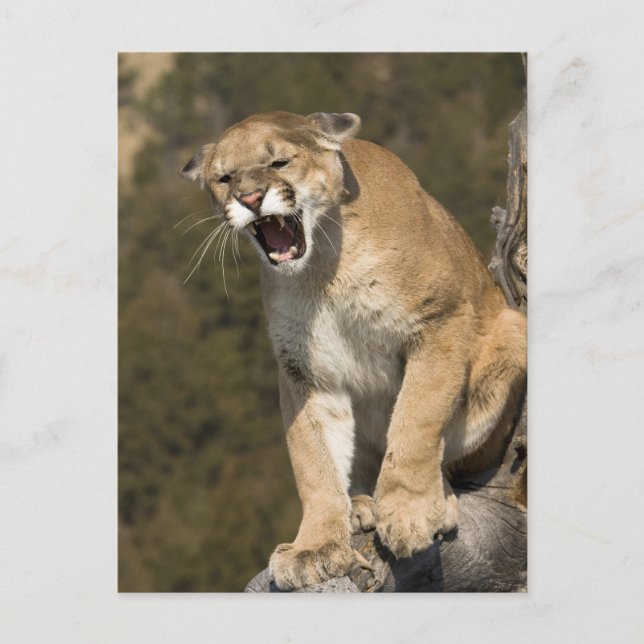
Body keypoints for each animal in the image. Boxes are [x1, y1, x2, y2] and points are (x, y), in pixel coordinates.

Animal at [180, 111, 527, 591]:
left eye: (280, 162)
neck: (322, 268)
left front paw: (409, 513)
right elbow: (312, 459)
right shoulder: (304, 371)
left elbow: (416, 421)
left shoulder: (439, 321)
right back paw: (360, 505)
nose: (250, 198)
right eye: (224, 178)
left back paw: (430, 502)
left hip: (510, 332)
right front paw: (315, 547)